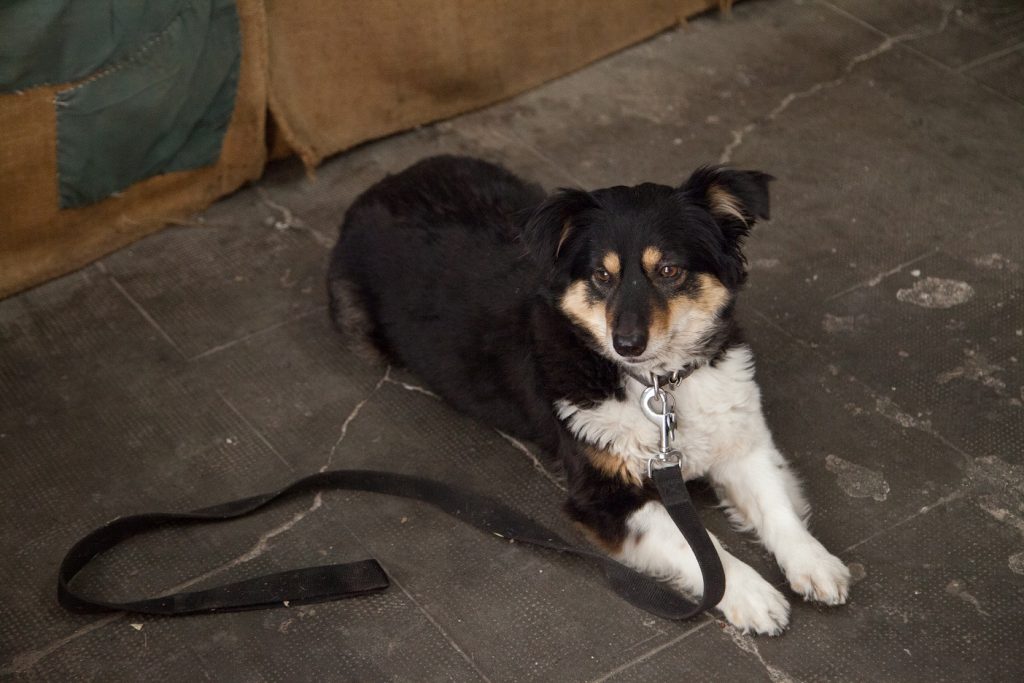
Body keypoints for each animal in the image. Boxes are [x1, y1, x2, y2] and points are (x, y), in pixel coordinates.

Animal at [327, 154, 847, 634]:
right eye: (601, 275)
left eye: (669, 270)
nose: (627, 344)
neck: (657, 383)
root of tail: (384, 183)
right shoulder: (604, 496)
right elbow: (702, 549)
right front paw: (750, 593)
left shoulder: (740, 440)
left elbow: (777, 505)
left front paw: (813, 562)